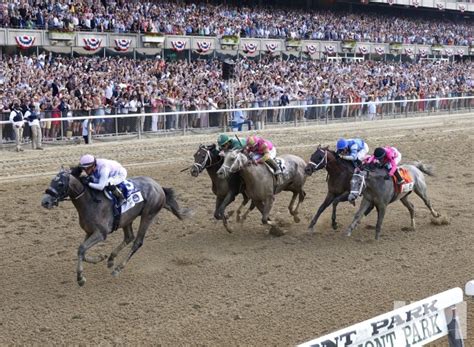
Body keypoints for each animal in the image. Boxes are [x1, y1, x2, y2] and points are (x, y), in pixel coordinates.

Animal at [41, 167, 192, 286]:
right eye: (51, 181)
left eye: (60, 183)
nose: (45, 202)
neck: (91, 202)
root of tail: (159, 186)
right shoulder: (89, 232)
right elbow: (82, 251)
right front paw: (100, 257)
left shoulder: (101, 233)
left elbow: (82, 249)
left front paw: (80, 278)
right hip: (127, 219)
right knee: (129, 237)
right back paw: (111, 259)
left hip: (148, 215)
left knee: (137, 242)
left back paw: (118, 268)